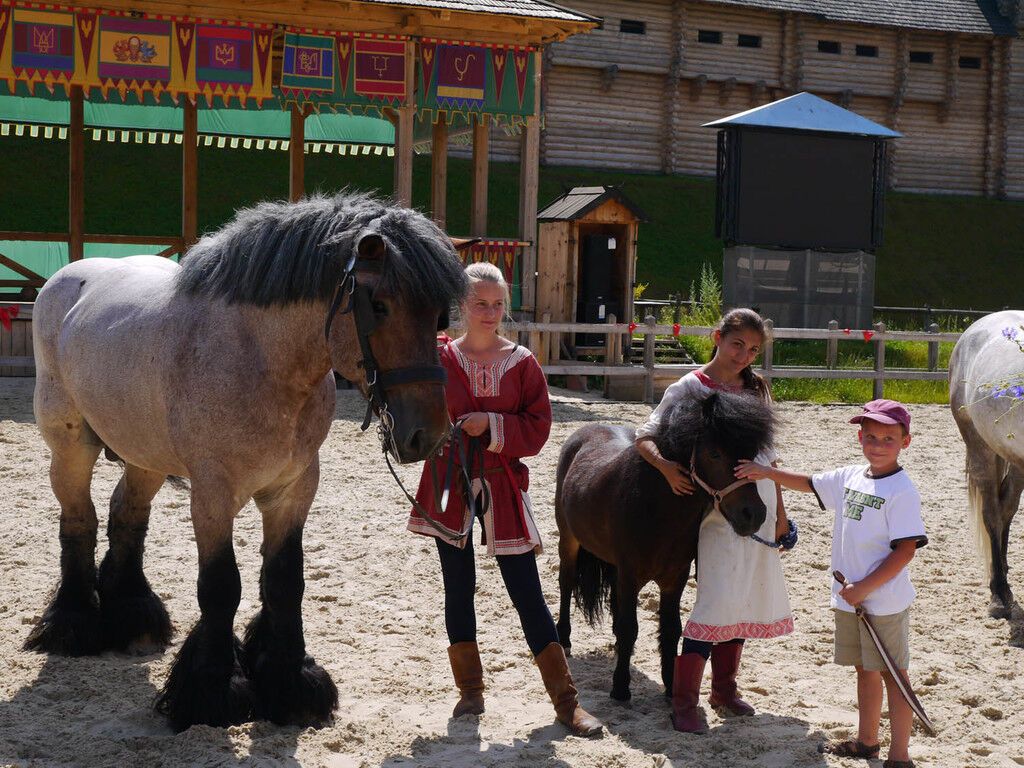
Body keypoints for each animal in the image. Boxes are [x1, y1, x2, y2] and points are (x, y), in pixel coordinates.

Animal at [27, 193, 468, 733]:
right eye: (379, 306)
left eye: (439, 316)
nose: (426, 433)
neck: (259, 357)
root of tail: (67, 281)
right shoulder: (213, 495)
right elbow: (221, 587)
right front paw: (214, 690)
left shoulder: (294, 489)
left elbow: (285, 581)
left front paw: (290, 684)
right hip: (70, 448)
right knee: (79, 520)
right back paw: (72, 624)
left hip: (143, 456)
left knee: (126, 515)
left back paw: (133, 615)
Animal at [557, 393, 770, 700]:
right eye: (714, 454)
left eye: (751, 454)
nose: (753, 514)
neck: (656, 508)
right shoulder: (630, 575)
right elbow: (630, 627)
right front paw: (620, 687)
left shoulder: (674, 579)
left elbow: (670, 630)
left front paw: (671, 686)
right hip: (569, 541)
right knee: (566, 582)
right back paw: (563, 638)